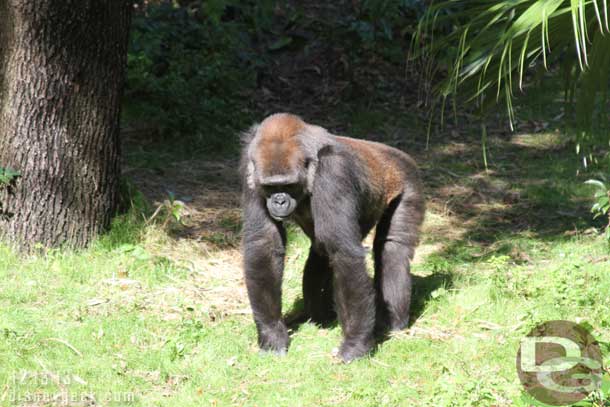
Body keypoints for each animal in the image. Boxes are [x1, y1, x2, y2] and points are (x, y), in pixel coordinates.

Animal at [239, 112, 422, 364]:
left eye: (288, 185)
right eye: (270, 187)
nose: (279, 201)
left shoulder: (334, 171)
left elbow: (344, 253)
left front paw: (355, 344)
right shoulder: (249, 167)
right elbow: (264, 244)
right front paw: (271, 333)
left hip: (408, 180)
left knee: (392, 250)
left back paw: (392, 323)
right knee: (320, 253)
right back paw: (318, 316)